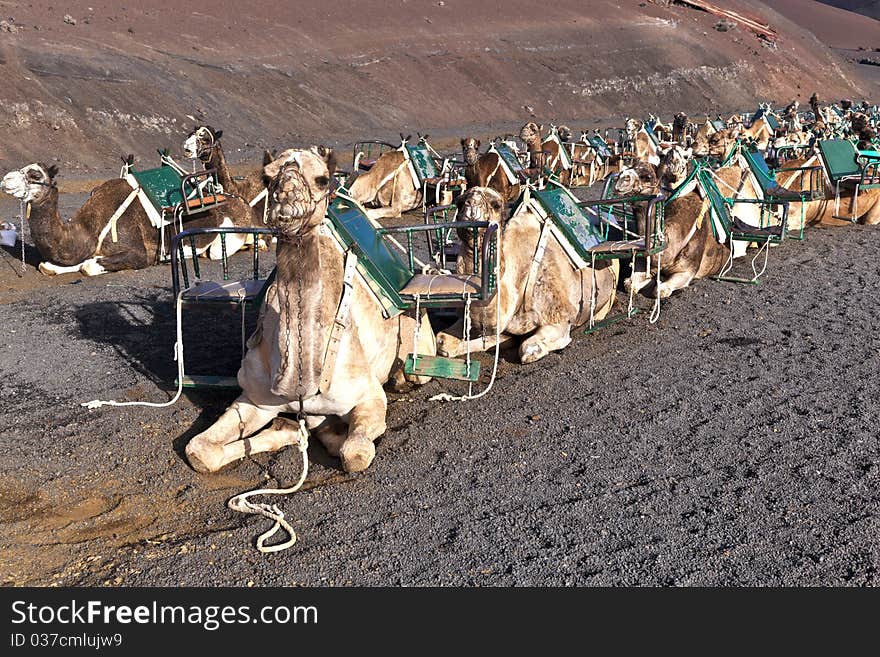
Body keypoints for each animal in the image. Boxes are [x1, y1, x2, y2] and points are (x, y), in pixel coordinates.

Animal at [0, 165, 253, 278]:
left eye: (35, 174)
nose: (5, 179)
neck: (89, 228)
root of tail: (242, 202)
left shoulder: (141, 254)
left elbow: (88, 266)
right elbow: (50, 266)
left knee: (217, 252)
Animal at [184, 146, 438, 474]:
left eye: (322, 179)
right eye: (266, 177)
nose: (287, 197)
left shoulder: (369, 395)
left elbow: (355, 453)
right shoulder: (254, 400)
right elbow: (199, 450)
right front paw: (293, 429)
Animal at [434, 186, 620, 364]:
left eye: (496, 204)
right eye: (459, 202)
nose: (471, 205)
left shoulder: (560, 316)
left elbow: (527, 348)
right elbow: (442, 340)